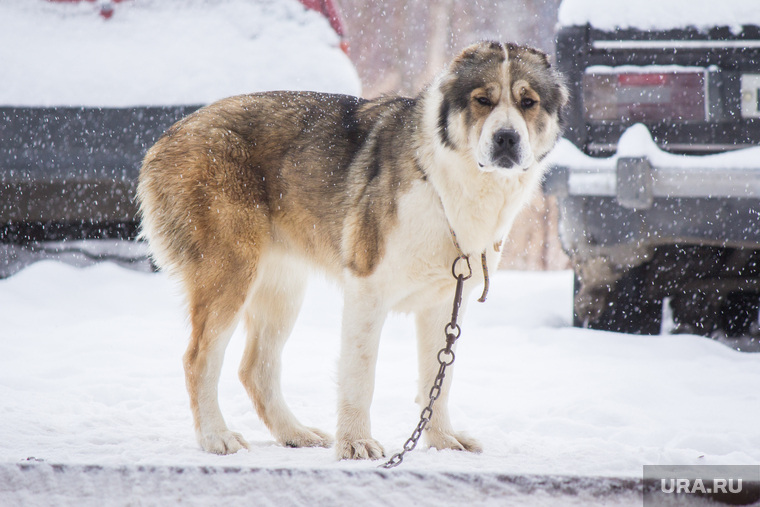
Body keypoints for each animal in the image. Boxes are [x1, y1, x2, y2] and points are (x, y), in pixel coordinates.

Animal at [137, 40, 568, 460]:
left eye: (528, 102)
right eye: (483, 100)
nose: (507, 138)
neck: (446, 183)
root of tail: (168, 135)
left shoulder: (444, 303)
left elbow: (438, 378)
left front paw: (442, 441)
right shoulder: (367, 290)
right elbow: (360, 376)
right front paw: (356, 443)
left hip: (282, 288)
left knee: (255, 369)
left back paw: (294, 434)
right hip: (231, 274)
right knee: (199, 359)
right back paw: (216, 436)